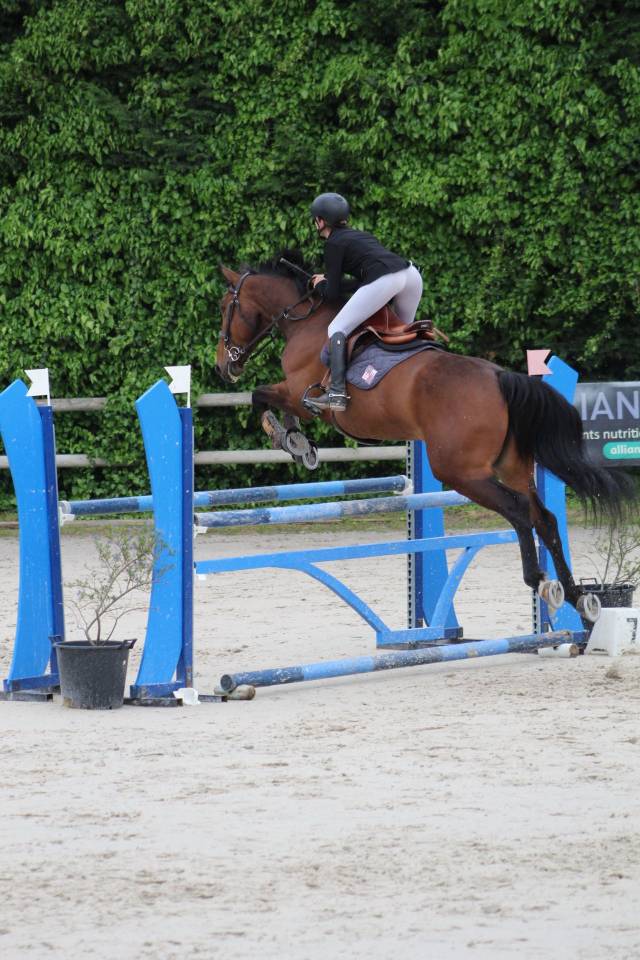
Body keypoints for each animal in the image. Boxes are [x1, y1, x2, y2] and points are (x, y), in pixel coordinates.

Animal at [215, 253, 633, 623]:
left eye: (224, 307)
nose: (222, 366)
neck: (307, 320)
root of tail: (500, 377)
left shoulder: (298, 392)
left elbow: (261, 396)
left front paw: (289, 439)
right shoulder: (295, 394)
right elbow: (273, 402)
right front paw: (299, 444)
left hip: (459, 471)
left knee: (517, 511)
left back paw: (541, 581)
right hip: (512, 466)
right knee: (543, 517)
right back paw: (578, 597)